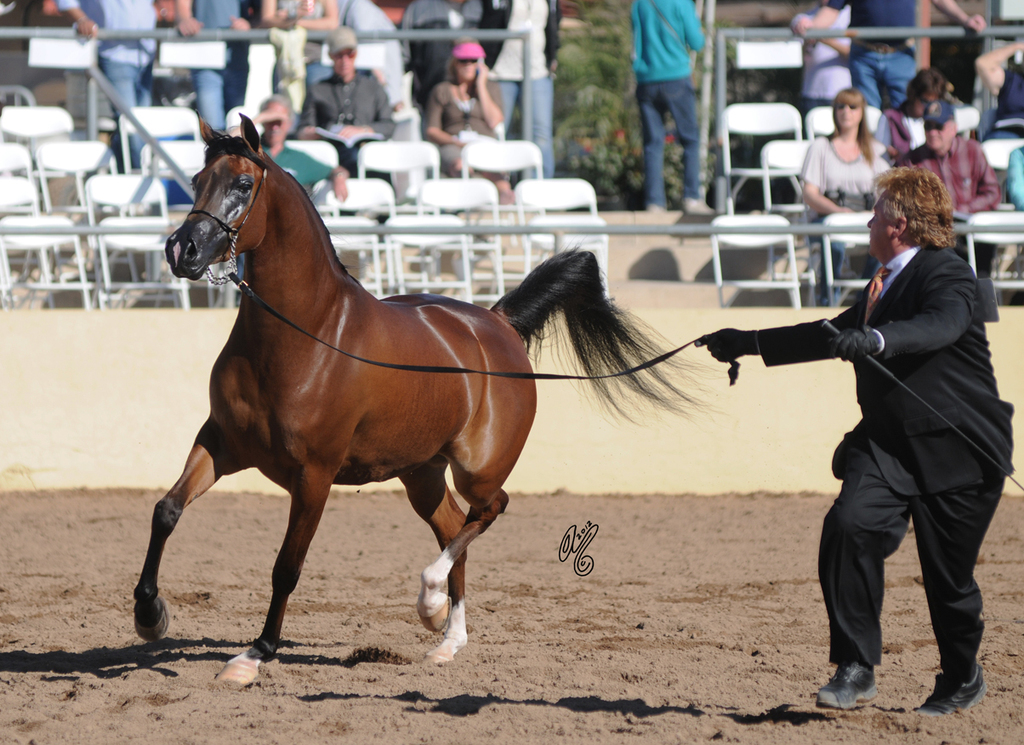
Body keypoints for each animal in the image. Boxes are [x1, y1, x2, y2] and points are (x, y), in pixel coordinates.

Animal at [133, 116, 699, 685]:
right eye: (198, 178)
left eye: (243, 184)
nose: (181, 249)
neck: (303, 336)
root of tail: (497, 322)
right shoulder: (221, 443)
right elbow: (165, 511)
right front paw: (149, 613)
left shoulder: (314, 475)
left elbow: (287, 566)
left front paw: (254, 655)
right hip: (421, 473)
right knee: (453, 526)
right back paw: (447, 639)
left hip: (477, 470)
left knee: (488, 510)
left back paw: (430, 602)